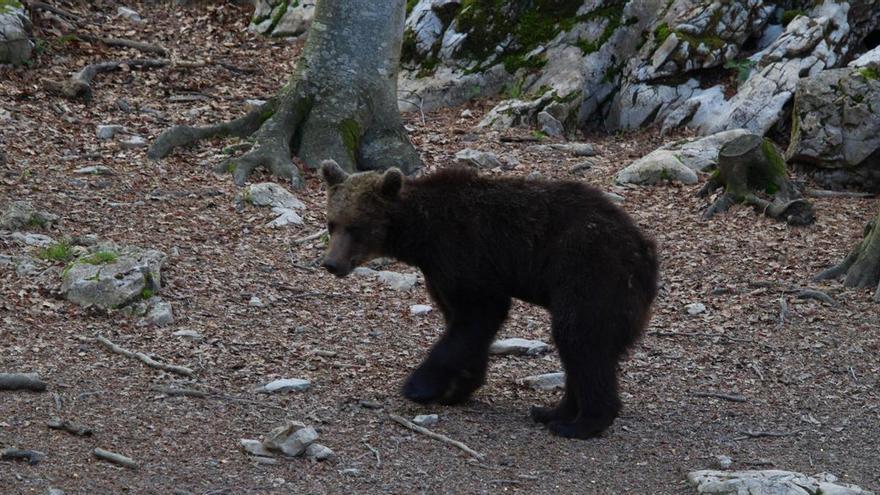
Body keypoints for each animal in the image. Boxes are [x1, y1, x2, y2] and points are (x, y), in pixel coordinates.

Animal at [319, 159, 658, 439]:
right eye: (331, 223)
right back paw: (551, 411)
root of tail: (645, 251)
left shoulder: (464, 252)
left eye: (356, 227)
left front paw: (418, 385)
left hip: (589, 272)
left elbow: (480, 312)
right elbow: (462, 323)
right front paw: (457, 387)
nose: (331, 263)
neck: (420, 236)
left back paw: (581, 423)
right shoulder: (440, 272)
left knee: (579, 338)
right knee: (584, 349)